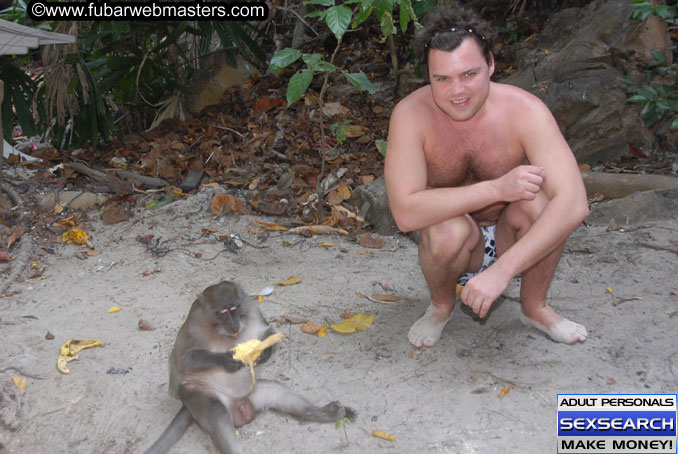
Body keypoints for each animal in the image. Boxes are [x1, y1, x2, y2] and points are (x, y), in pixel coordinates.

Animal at [144, 280, 356, 454]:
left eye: (234, 308)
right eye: (223, 312)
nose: (234, 325)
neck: (222, 332)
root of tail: (238, 404)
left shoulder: (252, 309)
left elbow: (269, 331)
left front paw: (265, 352)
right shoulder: (194, 327)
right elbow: (183, 360)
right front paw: (227, 360)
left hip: (253, 392)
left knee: (277, 392)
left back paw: (324, 413)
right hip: (195, 395)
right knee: (216, 413)